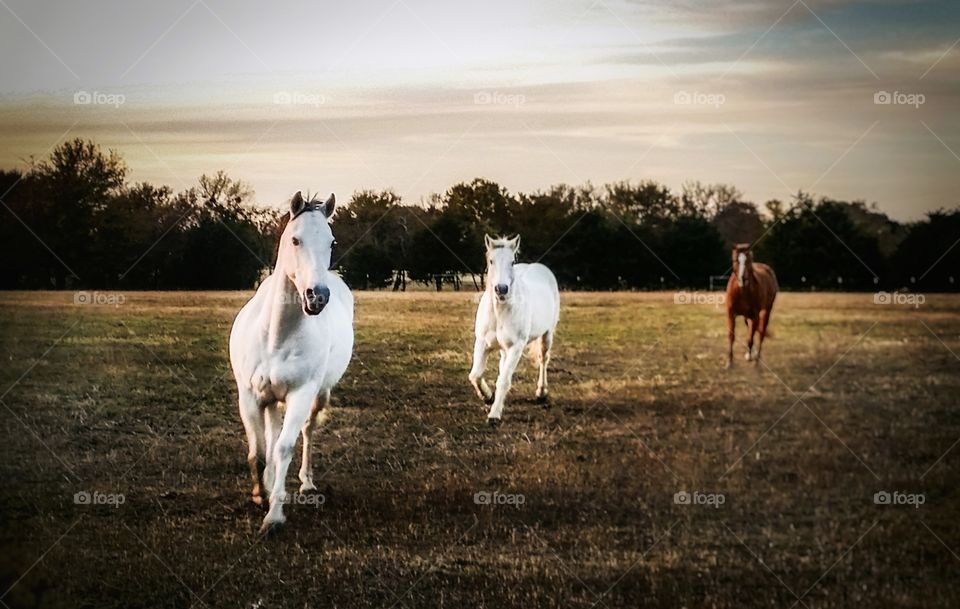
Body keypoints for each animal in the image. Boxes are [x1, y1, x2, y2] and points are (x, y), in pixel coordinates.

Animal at [230, 190, 356, 532]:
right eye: (295, 240)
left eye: (331, 242)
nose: (318, 296)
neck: (276, 335)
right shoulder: (249, 396)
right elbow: (259, 452)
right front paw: (260, 493)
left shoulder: (301, 394)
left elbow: (284, 447)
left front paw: (274, 514)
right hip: (271, 399)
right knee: (271, 437)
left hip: (318, 396)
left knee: (306, 432)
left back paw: (306, 482)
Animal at [466, 235, 560, 426]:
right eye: (491, 261)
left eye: (512, 261)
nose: (501, 289)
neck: (500, 311)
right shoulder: (482, 343)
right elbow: (475, 374)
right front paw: (488, 397)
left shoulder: (516, 347)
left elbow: (503, 380)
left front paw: (494, 415)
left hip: (547, 335)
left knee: (543, 360)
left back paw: (541, 393)